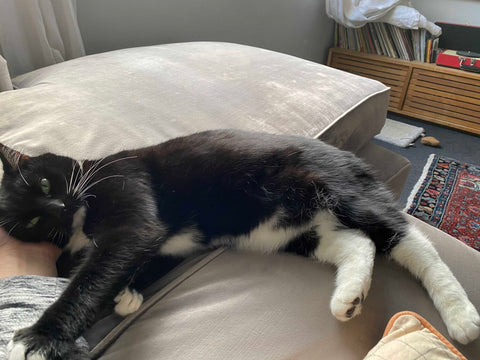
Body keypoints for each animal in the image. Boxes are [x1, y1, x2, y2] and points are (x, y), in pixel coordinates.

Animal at [0, 130, 478, 360]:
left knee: (406, 237)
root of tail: (351, 156)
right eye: (32, 220)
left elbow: (96, 273)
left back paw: (460, 315)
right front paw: (130, 292)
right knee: (357, 244)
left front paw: (40, 338)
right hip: (296, 230)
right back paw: (349, 297)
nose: (61, 207)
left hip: (338, 189)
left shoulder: (130, 203)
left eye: (45, 183)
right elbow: (136, 259)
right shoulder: (163, 244)